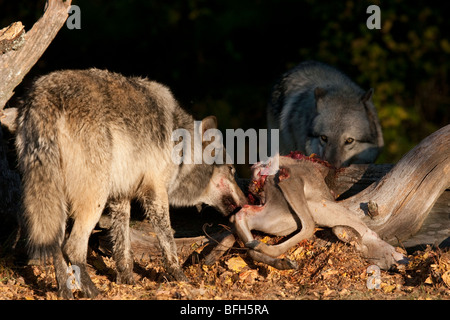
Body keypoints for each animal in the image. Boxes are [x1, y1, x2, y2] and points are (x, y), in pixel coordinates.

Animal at [14, 69, 246, 298]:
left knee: (56, 246)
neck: (184, 149)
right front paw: (180, 279)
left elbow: (122, 246)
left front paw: (126, 281)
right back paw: (93, 291)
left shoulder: (121, 197)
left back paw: (65, 292)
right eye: (232, 170)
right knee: (72, 247)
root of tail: (44, 96)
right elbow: (168, 242)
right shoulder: (156, 192)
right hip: (95, 198)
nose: (246, 201)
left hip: (57, 199)